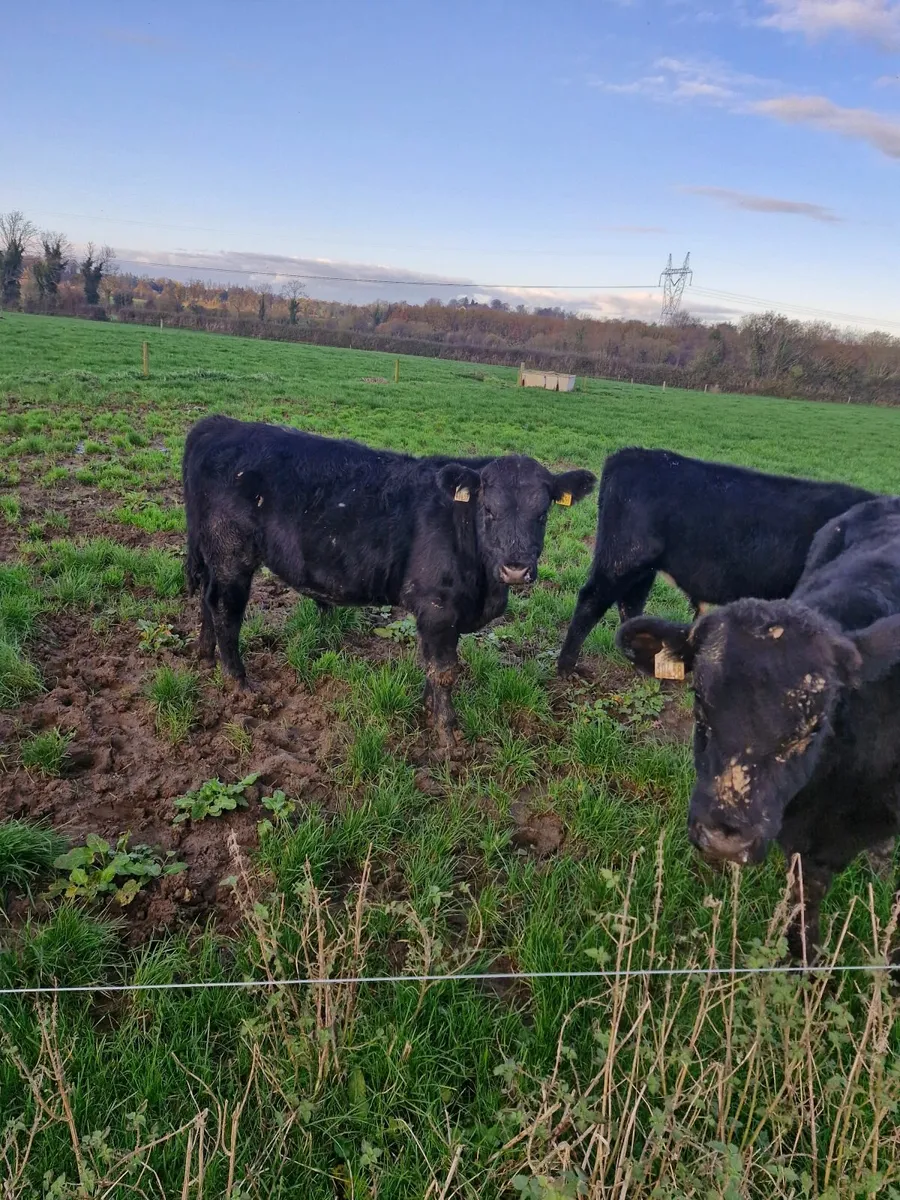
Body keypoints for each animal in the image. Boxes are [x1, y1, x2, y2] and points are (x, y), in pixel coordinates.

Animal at [182, 415, 596, 745]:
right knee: (225, 610)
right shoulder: (437, 606)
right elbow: (444, 671)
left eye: (542, 514)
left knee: (207, 599)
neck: (485, 589)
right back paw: (240, 684)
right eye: (489, 510)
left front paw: (428, 710)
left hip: (214, 555)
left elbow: (430, 665)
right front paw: (448, 734)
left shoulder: (440, 615)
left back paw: (205, 656)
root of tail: (222, 424)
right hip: (232, 555)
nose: (516, 568)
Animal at [557, 448, 874, 676]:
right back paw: (566, 668)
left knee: (630, 604)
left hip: (643, 567)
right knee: (592, 600)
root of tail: (628, 454)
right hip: (623, 558)